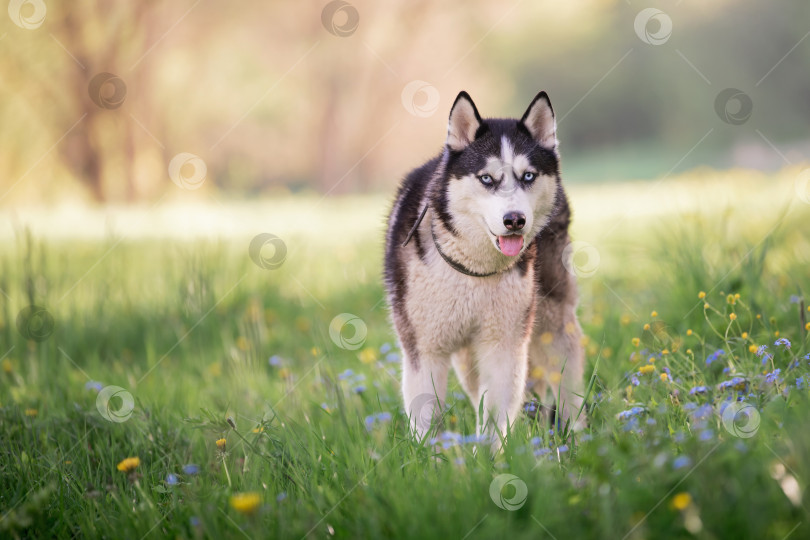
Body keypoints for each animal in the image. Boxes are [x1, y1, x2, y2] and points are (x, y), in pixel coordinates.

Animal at [382, 90, 584, 446]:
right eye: (487, 178)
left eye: (528, 176)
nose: (515, 220)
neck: (472, 268)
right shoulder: (425, 349)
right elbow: (427, 421)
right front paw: (432, 458)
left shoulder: (504, 345)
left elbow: (494, 421)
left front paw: (489, 458)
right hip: (466, 356)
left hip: (550, 318)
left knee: (567, 373)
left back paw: (576, 434)